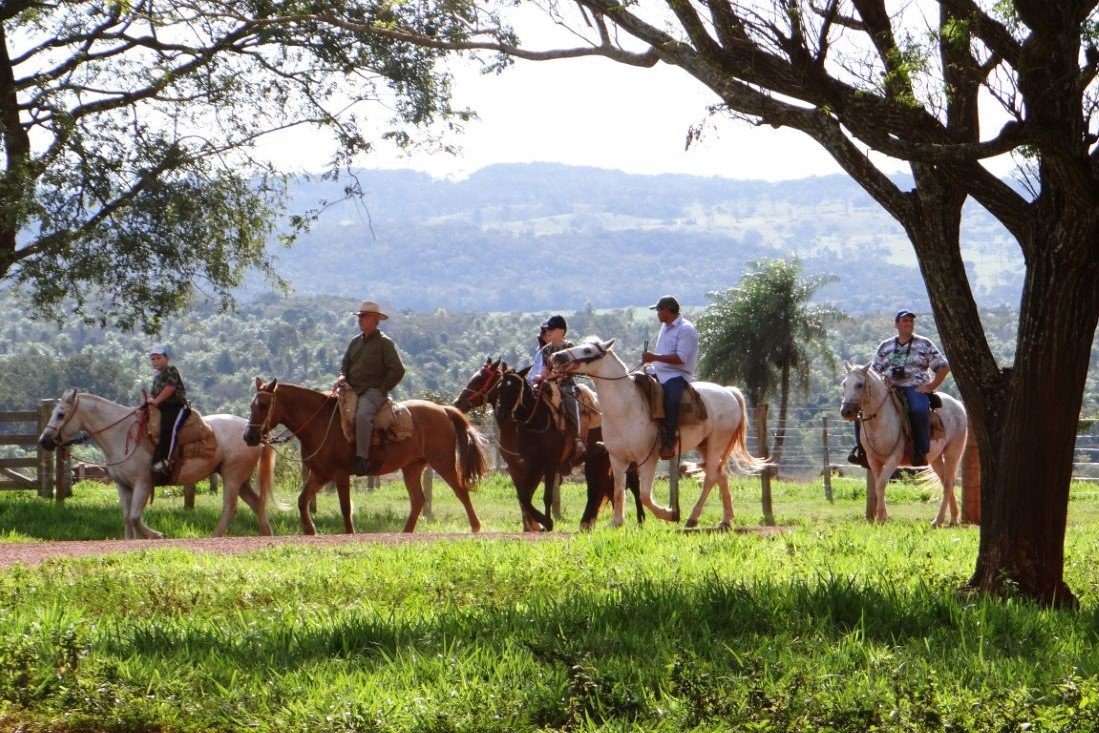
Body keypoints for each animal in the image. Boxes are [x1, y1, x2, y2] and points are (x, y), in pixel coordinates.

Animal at [38, 389, 279, 538]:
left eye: (61, 414)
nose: (44, 441)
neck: (121, 434)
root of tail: (254, 434)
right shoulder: (123, 487)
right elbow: (127, 518)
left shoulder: (143, 484)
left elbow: (135, 517)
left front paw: (156, 534)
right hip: (241, 480)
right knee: (256, 503)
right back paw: (267, 535)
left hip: (232, 477)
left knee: (230, 508)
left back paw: (215, 537)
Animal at [242, 378, 487, 534]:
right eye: (251, 405)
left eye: (263, 404)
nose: (249, 436)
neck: (320, 423)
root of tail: (443, 410)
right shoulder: (320, 474)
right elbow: (303, 500)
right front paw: (310, 531)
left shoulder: (340, 474)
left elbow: (345, 506)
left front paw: (349, 533)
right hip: (412, 467)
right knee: (418, 500)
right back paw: (405, 533)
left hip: (443, 462)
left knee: (461, 491)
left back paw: (476, 527)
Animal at [452, 358, 641, 529]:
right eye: (500, 388)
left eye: (481, 379)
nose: (458, 403)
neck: (534, 422)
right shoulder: (525, 466)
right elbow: (524, 496)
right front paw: (535, 524)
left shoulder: (548, 464)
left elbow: (545, 496)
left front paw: (545, 522)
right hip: (596, 459)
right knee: (599, 487)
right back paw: (588, 523)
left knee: (628, 484)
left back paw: (638, 520)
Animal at [553, 336, 769, 529]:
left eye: (588, 350)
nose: (557, 356)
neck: (626, 407)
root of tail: (730, 392)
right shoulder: (617, 458)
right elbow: (618, 490)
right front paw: (617, 522)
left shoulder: (648, 459)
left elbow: (645, 496)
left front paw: (669, 514)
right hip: (704, 445)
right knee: (720, 475)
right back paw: (726, 520)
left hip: (718, 443)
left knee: (710, 478)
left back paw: (692, 518)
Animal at [839, 362, 971, 527]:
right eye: (844, 384)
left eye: (859, 385)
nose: (846, 411)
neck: (880, 420)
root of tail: (958, 404)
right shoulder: (872, 459)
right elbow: (878, 485)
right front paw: (880, 517)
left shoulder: (893, 458)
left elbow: (881, 484)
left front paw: (882, 518)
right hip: (936, 458)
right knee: (946, 481)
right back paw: (952, 518)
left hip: (953, 452)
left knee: (947, 484)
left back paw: (938, 520)